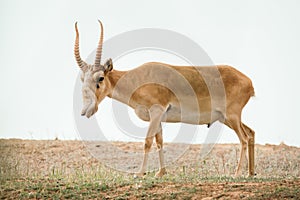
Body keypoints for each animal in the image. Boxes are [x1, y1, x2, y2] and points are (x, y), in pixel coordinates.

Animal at [74, 19, 254, 177]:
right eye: (83, 79)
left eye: (100, 78)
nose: (86, 110)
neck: (139, 78)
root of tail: (248, 82)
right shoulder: (159, 117)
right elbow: (159, 141)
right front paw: (160, 173)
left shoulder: (156, 111)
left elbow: (147, 141)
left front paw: (140, 173)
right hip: (227, 118)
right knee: (251, 133)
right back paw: (251, 173)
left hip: (231, 116)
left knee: (244, 138)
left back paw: (237, 174)